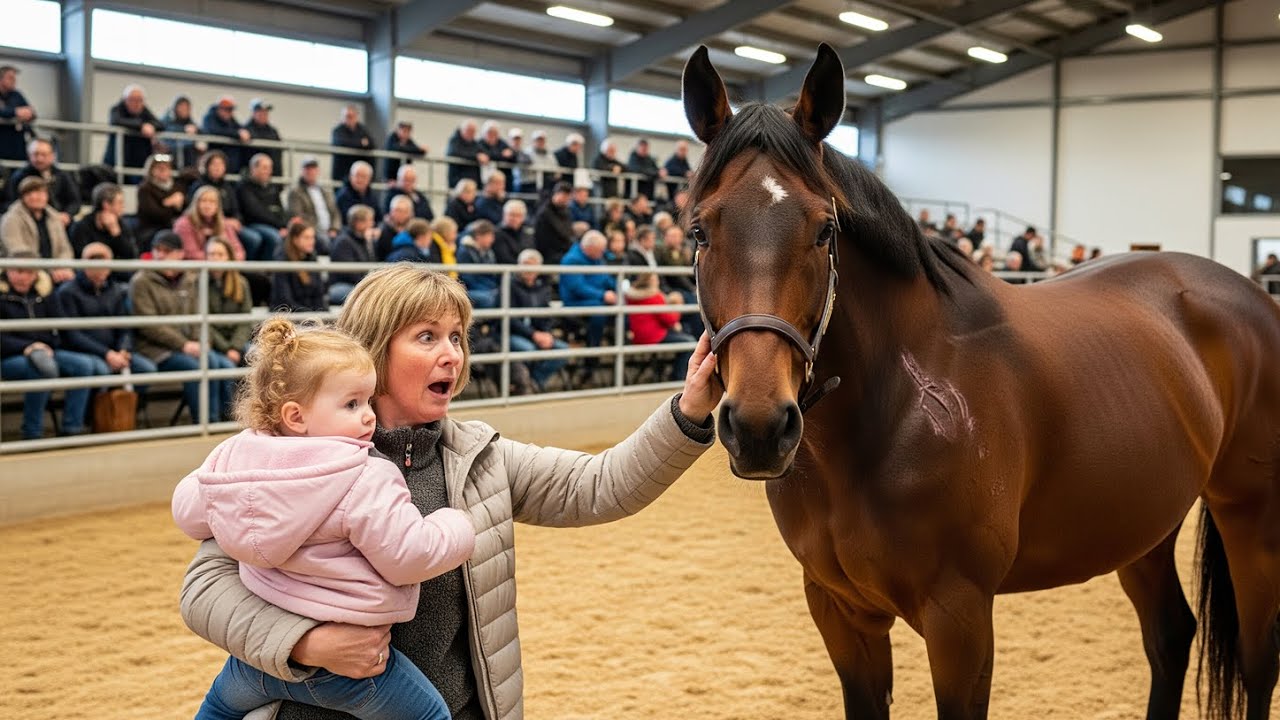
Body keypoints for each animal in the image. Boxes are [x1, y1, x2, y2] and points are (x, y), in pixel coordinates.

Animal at [681, 43, 1280, 719]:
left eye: (824, 230)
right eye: (700, 231)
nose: (759, 427)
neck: (898, 406)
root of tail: (1252, 297)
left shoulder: (959, 620)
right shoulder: (841, 612)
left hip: (1251, 518)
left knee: (1258, 659)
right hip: (1144, 523)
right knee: (1171, 635)